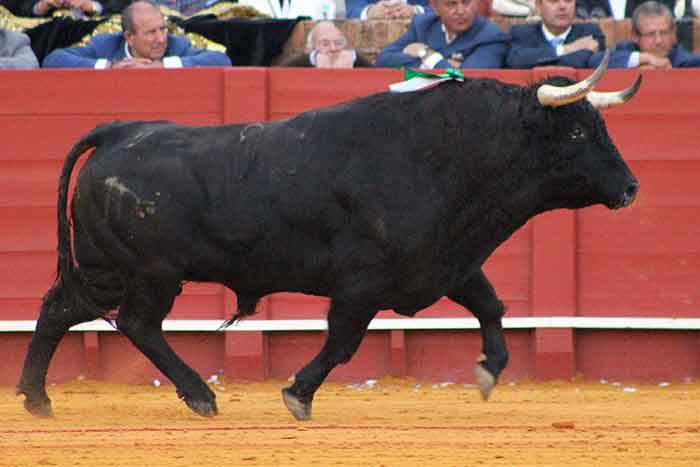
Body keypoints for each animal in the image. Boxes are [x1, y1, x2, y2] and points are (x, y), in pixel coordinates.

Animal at [15, 61, 640, 420]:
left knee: (59, 309)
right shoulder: (363, 283)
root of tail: (119, 131)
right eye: (578, 132)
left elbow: (491, 306)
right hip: (151, 274)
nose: (631, 188)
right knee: (137, 324)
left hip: (105, 267)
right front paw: (298, 394)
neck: (447, 154)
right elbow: (341, 343)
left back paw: (36, 398)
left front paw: (489, 371)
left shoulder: (445, 264)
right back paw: (200, 395)